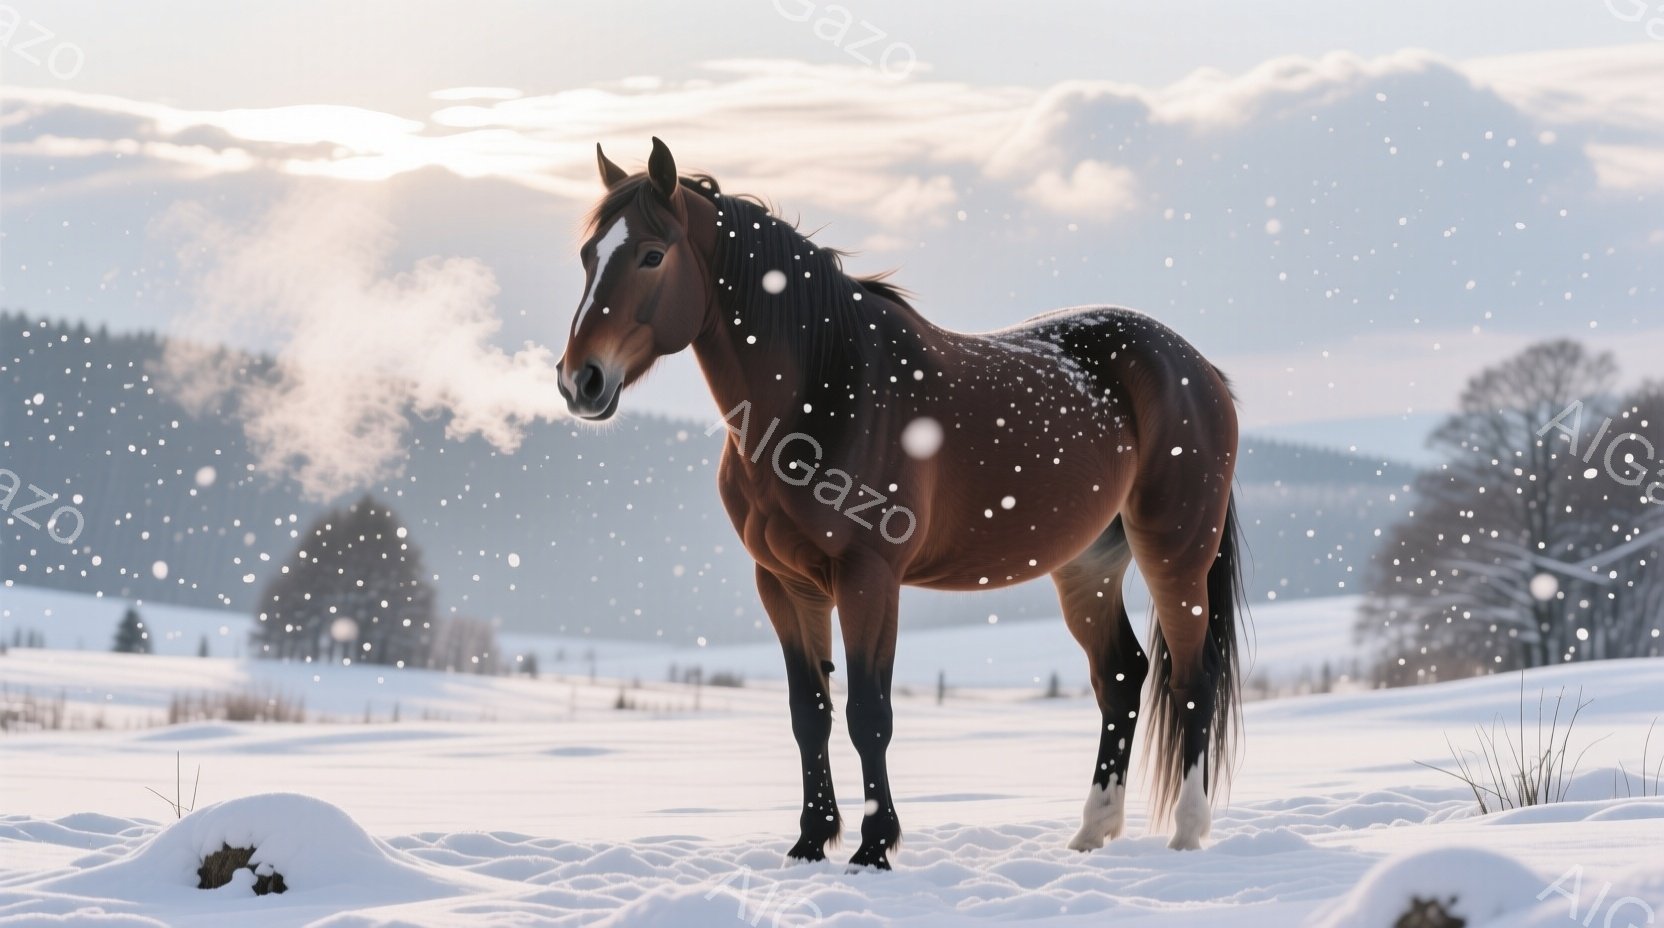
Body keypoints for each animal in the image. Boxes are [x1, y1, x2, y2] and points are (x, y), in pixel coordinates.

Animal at [557, 138, 1245, 871]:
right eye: (588, 254)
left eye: (652, 254)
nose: (580, 381)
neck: (824, 389)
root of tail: (1198, 369)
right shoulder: (784, 583)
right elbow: (811, 713)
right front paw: (810, 841)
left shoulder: (868, 578)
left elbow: (869, 714)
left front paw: (872, 847)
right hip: (1087, 564)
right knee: (1121, 675)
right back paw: (1092, 832)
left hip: (1175, 554)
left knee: (1192, 678)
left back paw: (1187, 832)